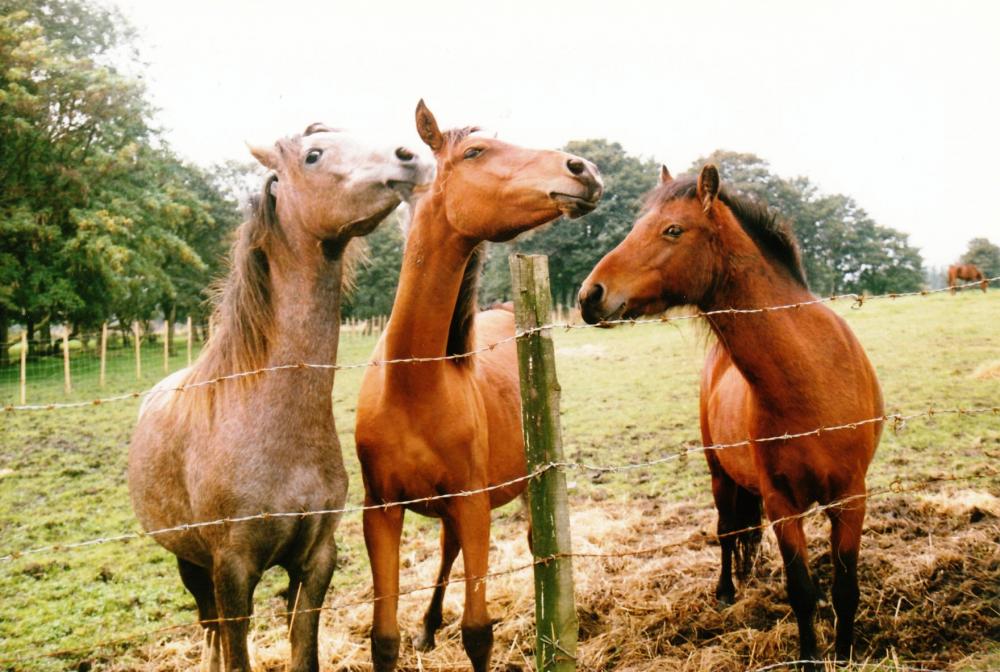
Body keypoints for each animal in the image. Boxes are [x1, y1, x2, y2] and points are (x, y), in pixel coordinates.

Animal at [129, 126, 430, 672]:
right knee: (210, 630)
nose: (411, 156)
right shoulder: (232, 569)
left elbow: (303, 650)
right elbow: (235, 650)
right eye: (313, 156)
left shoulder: (316, 561)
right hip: (190, 561)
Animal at [352, 101, 600, 672]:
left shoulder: (471, 504)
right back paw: (427, 625)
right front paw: (415, 630)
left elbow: (478, 633)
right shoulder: (380, 512)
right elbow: (383, 638)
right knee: (449, 548)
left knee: (526, 543)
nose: (584, 170)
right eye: (474, 152)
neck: (413, 385)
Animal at [580, 164, 884, 660]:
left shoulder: (851, 498)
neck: (813, 378)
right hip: (719, 474)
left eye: (672, 229)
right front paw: (812, 657)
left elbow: (846, 589)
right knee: (725, 532)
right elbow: (799, 592)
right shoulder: (782, 505)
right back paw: (725, 592)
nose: (590, 294)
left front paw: (843, 652)